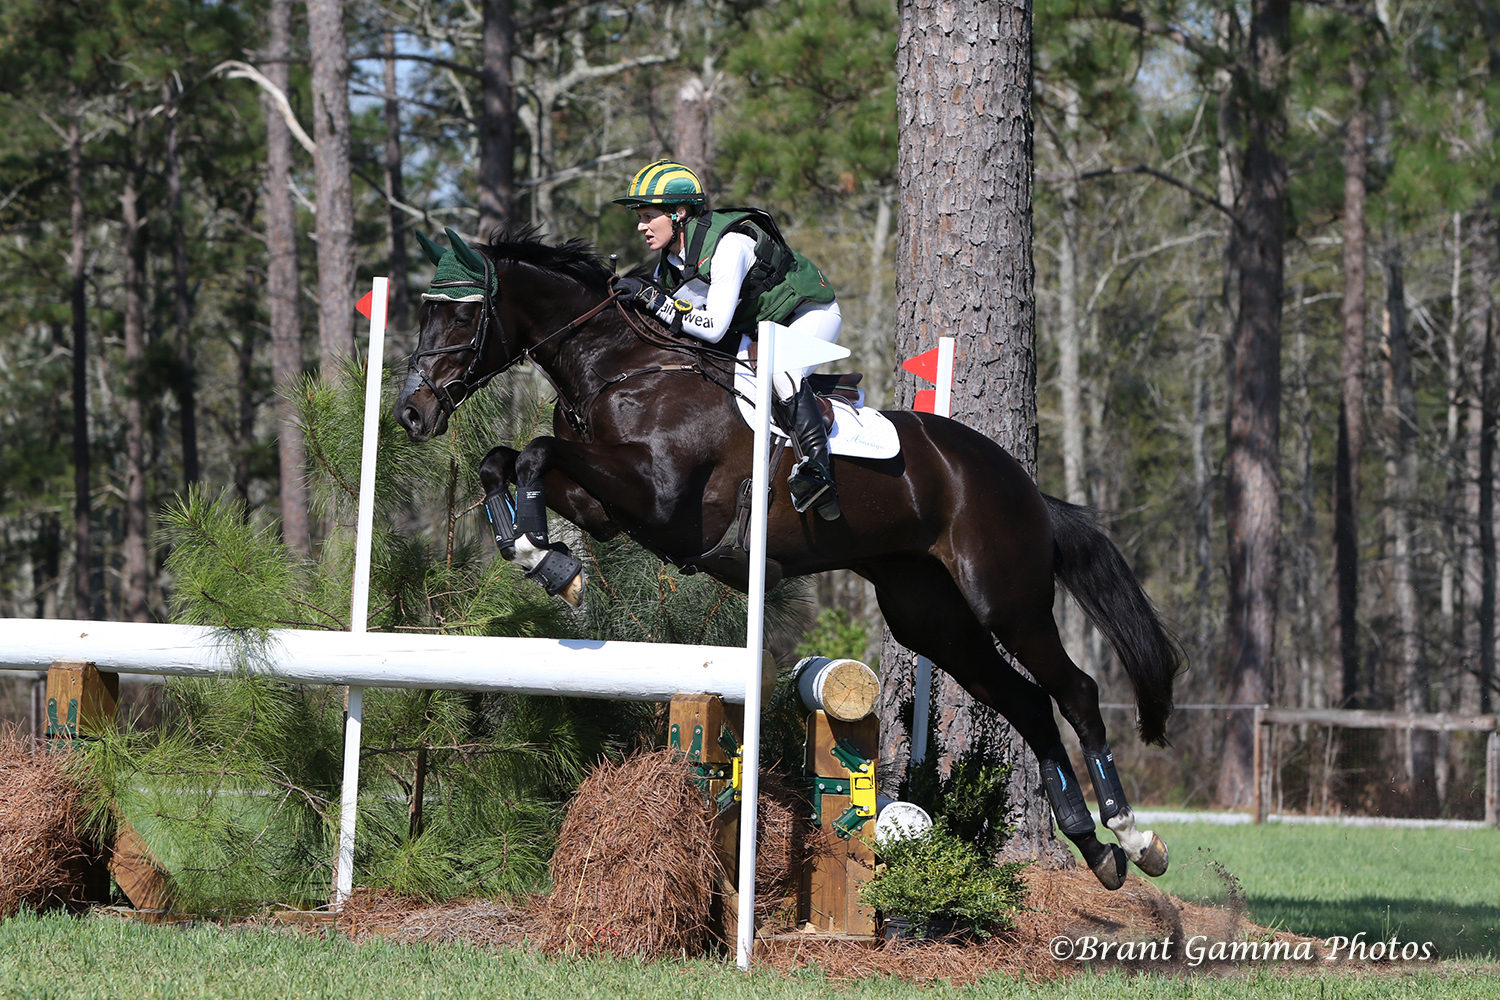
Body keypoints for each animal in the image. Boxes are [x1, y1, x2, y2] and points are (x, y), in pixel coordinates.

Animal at [394, 226, 1181, 889]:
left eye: (460, 318)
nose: (410, 413)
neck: (623, 368)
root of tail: (1020, 484)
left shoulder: (659, 500)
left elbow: (533, 450)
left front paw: (549, 559)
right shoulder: (609, 511)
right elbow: (505, 461)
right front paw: (540, 557)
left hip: (1004, 598)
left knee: (1074, 693)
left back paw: (1132, 834)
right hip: (931, 616)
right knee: (1026, 703)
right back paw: (1096, 849)